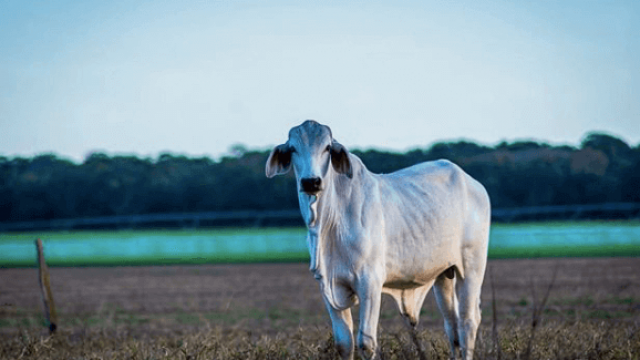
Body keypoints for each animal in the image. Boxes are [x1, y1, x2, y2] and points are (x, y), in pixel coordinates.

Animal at [264, 121, 490, 360]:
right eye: (293, 148)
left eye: (327, 147)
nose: (311, 182)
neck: (328, 226)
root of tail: (473, 183)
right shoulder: (326, 284)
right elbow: (344, 343)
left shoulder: (370, 282)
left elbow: (366, 342)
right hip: (443, 273)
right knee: (452, 325)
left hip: (472, 267)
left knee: (467, 322)